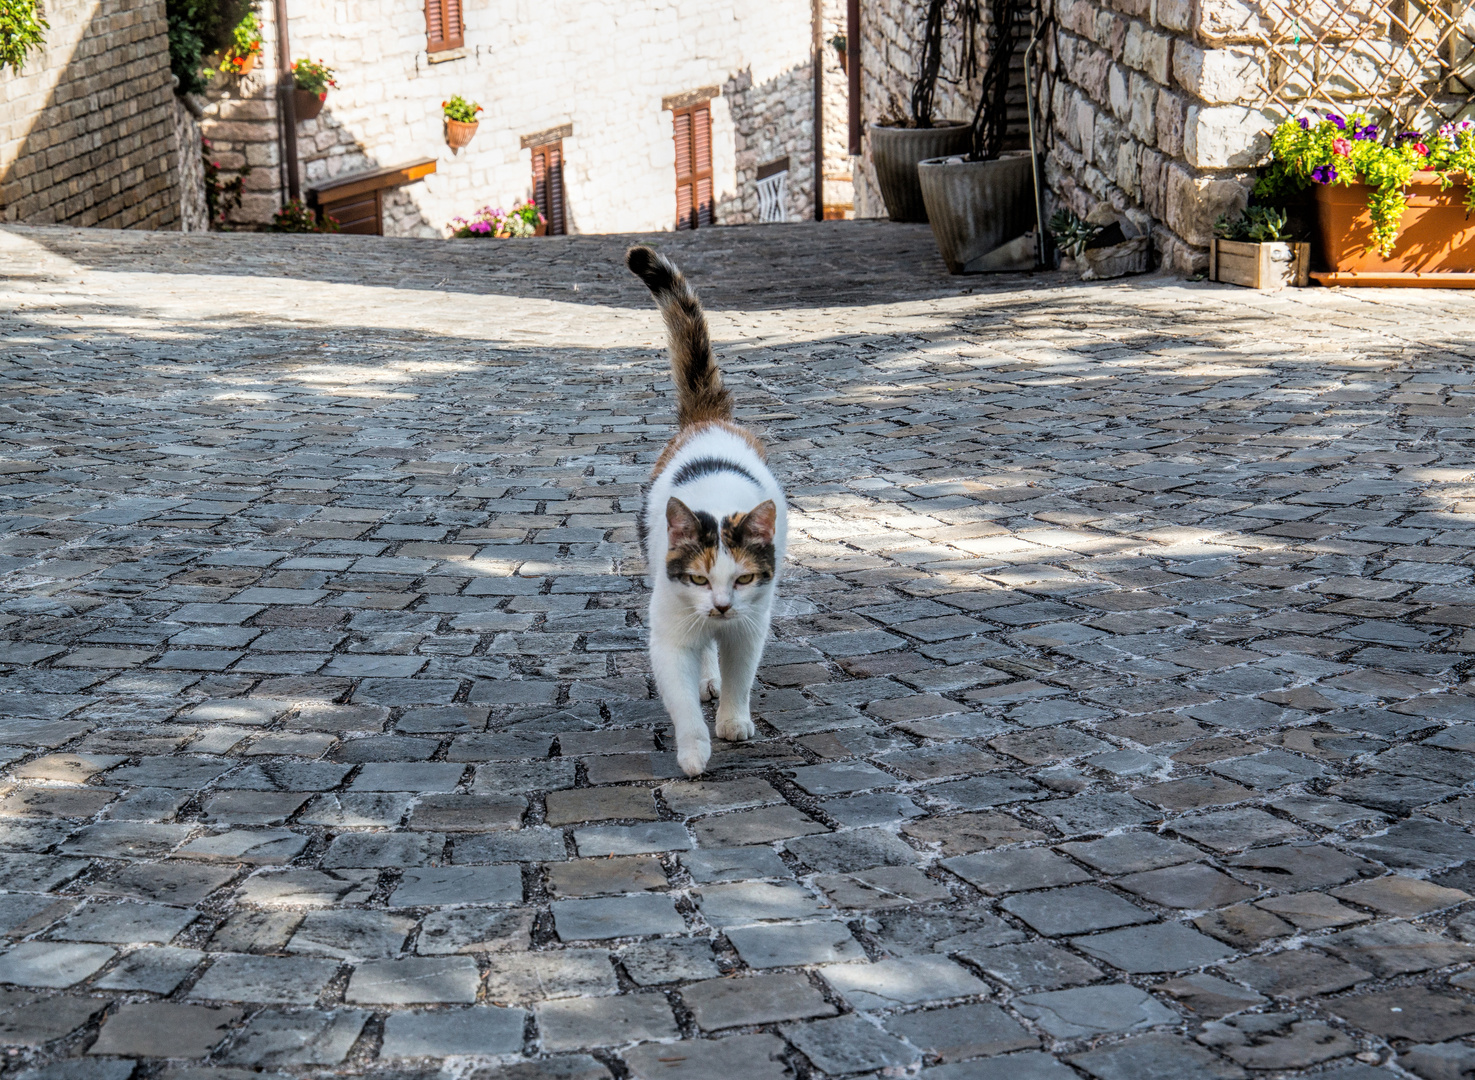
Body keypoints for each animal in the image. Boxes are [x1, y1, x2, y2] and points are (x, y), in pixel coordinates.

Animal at [625, 244, 784, 779]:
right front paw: (694, 752)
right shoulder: (671, 633)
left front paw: (734, 721)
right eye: (697, 578)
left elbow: (741, 675)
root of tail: (707, 421)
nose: (720, 605)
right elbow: (681, 699)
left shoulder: (751, 623)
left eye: (743, 578)